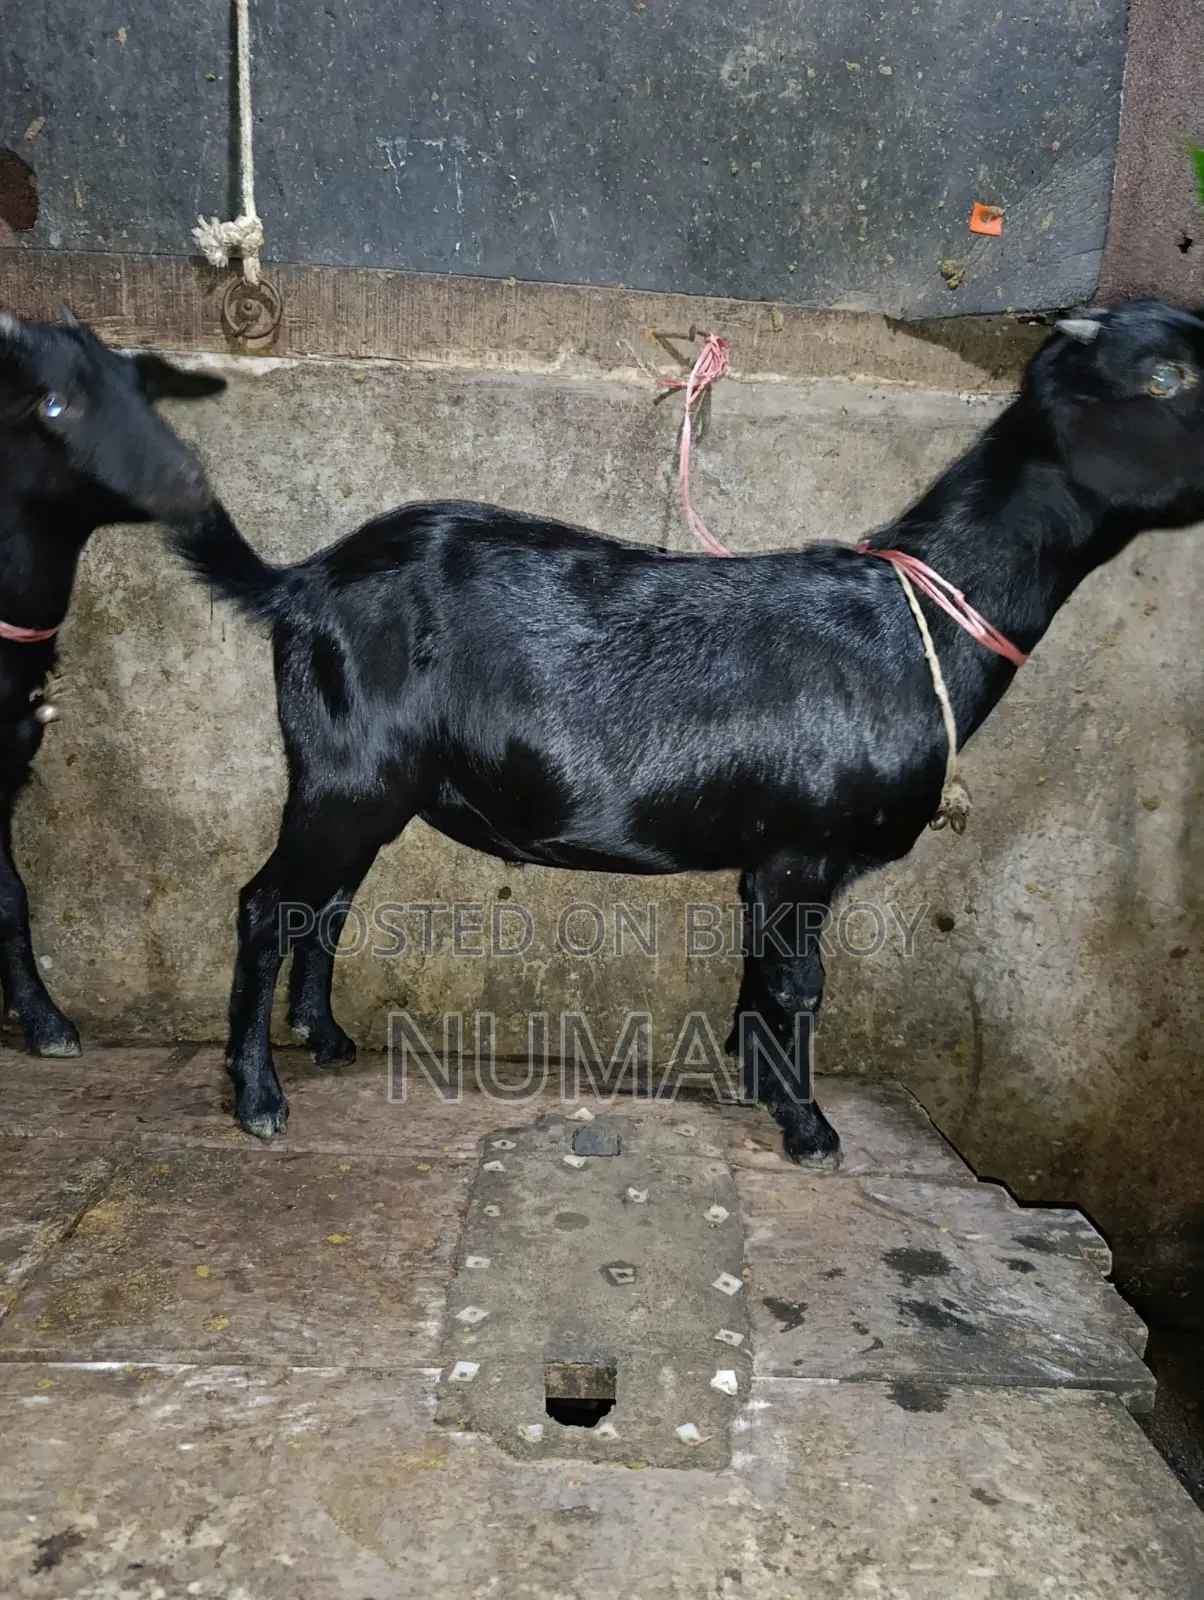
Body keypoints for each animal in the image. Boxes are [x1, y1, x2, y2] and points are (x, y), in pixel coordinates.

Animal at [172, 299, 1204, 1161]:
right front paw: (811, 1129)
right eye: (1165, 376)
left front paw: (759, 1090)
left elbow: (760, 977)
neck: (919, 619)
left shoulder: (772, 860)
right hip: (347, 775)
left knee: (326, 903)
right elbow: (800, 985)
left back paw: (326, 1038)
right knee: (268, 905)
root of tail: (300, 583)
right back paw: (260, 1098)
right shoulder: (805, 846)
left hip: (367, 784)